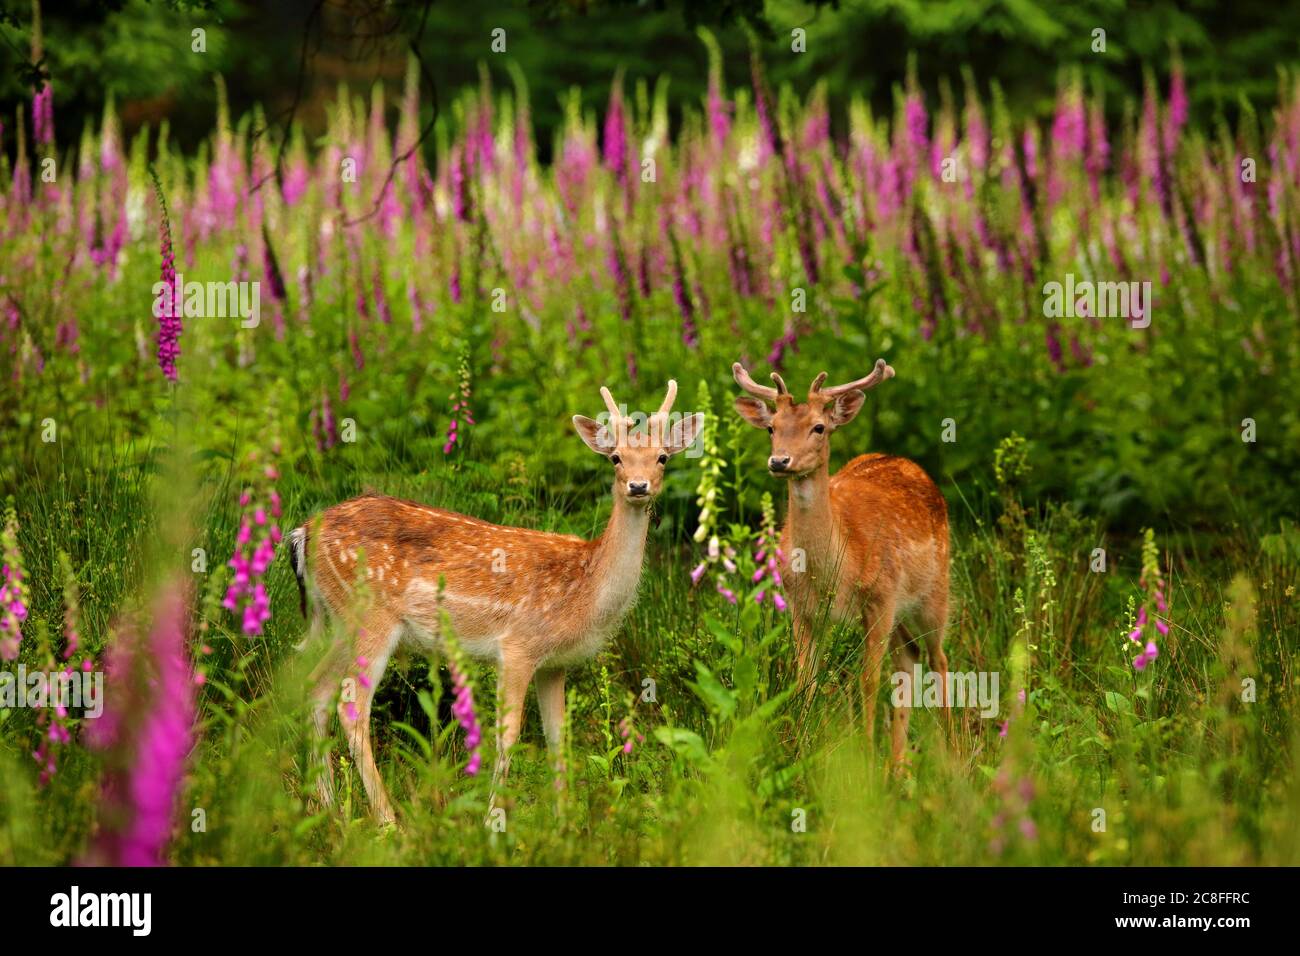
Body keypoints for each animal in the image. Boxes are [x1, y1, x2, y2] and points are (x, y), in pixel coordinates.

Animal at [288, 381, 703, 824]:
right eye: (615, 457)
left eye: (662, 457)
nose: (638, 486)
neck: (585, 590)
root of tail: (302, 532)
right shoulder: (518, 646)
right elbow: (508, 735)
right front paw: (493, 821)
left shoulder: (554, 664)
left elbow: (558, 738)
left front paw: (564, 821)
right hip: (370, 616)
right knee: (351, 706)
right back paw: (387, 821)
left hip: (340, 619)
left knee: (316, 690)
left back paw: (327, 806)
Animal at [731, 358, 950, 767]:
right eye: (772, 427)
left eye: (819, 426)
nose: (779, 460)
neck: (835, 570)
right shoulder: (801, 608)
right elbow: (805, 680)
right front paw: (800, 749)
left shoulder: (880, 599)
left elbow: (868, 679)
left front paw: (865, 755)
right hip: (901, 611)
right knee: (908, 659)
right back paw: (899, 764)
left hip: (934, 591)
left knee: (937, 657)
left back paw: (953, 748)